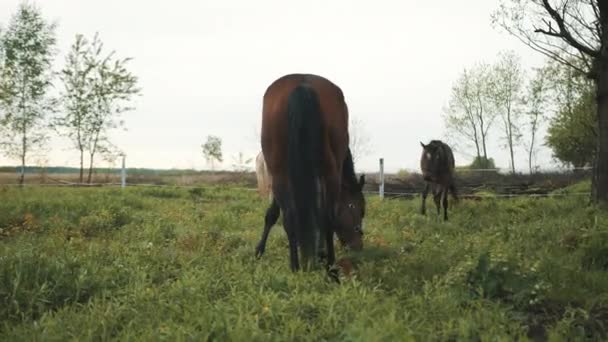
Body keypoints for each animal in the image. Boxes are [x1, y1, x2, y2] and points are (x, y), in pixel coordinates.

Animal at [258, 73, 364, 276]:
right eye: (359, 210)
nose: (358, 246)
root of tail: (302, 83)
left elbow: (274, 213)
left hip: (280, 171)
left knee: (290, 219)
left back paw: (295, 266)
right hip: (330, 173)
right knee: (327, 219)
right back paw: (330, 268)